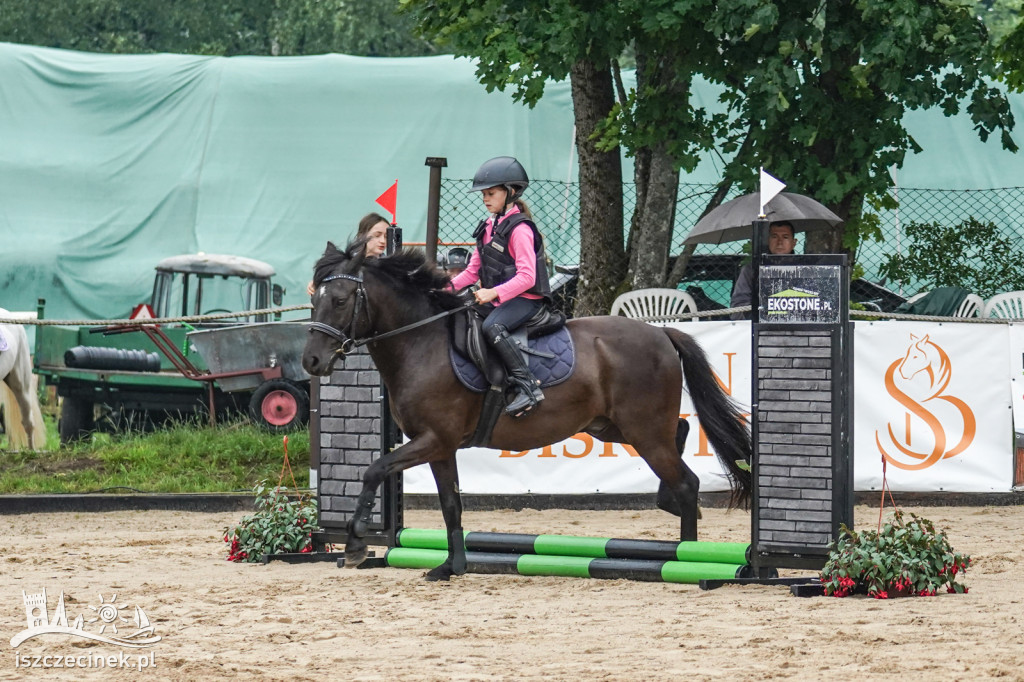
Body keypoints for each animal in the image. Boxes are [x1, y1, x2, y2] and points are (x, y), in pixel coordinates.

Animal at [299, 242, 749, 577]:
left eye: (339, 300)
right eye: (313, 300)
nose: (312, 363)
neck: (421, 343)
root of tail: (662, 333)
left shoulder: (432, 440)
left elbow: (374, 470)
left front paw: (356, 544)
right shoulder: (440, 447)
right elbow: (450, 503)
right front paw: (452, 566)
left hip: (642, 430)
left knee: (686, 481)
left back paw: (688, 556)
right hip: (612, 426)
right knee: (680, 436)